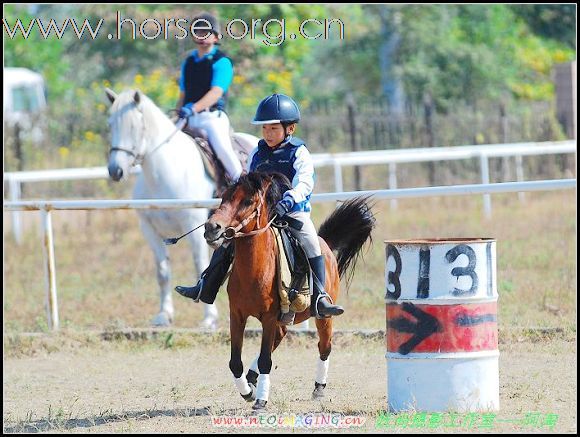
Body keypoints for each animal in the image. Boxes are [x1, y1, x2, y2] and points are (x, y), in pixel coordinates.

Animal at [105, 88, 258, 328]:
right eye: (110, 124)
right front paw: (164, 315)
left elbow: (199, 266)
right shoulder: (149, 230)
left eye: (134, 126)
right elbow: (163, 272)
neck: (165, 172)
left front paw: (209, 318)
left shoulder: (195, 227)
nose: (115, 170)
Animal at [204, 170, 376, 408]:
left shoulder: (268, 317)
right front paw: (247, 392)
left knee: (324, 347)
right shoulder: (237, 316)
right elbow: (235, 362)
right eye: (224, 197)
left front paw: (260, 400)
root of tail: (325, 244)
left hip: (323, 318)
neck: (254, 270)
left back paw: (318, 387)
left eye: (248, 201)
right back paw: (252, 379)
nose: (212, 228)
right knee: (278, 339)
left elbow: (266, 360)